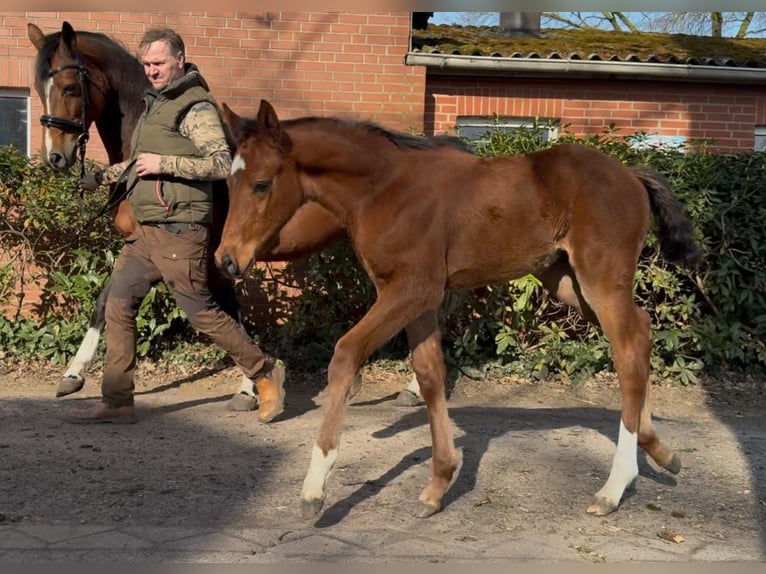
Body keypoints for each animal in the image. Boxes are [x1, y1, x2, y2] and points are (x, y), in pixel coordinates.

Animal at [27, 22, 426, 408]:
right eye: (38, 89)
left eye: (69, 87)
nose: (55, 157)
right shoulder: (142, 246)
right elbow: (106, 300)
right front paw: (73, 374)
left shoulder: (208, 255)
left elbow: (231, 313)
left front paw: (250, 388)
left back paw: (413, 388)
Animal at [213, 99, 704, 520]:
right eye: (231, 184)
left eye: (262, 184)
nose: (227, 260)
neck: (387, 189)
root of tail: (631, 173)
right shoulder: (415, 297)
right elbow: (430, 373)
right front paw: (439, 483)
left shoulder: (411, 290)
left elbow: (347, 354)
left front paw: (314, 490)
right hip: (567, 282)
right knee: (641, 334)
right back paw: (661, 450)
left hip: (600, 279)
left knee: (627, 350)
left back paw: (614, 487)